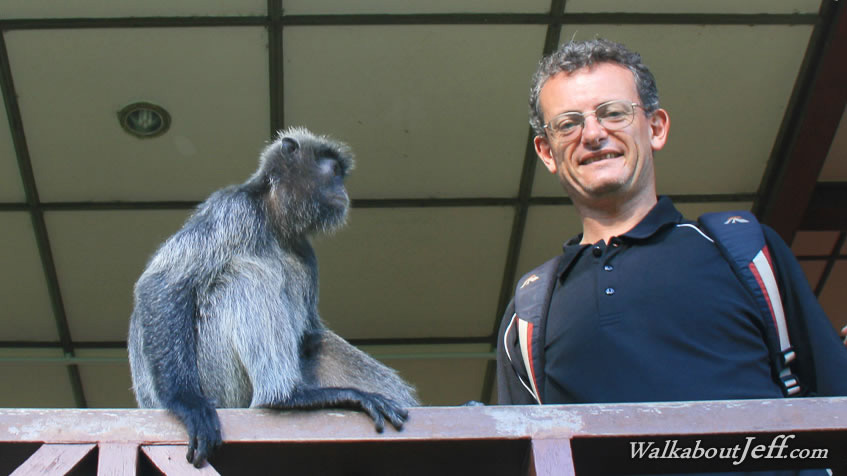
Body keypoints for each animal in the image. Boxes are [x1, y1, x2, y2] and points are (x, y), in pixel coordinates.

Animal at [128, 127, 418, 468]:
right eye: (334, 172)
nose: (343, 190)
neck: (274, 222)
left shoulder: (306, 253)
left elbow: (309, 332)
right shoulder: (233, 208)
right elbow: (163, 282)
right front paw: (186, 402)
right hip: (216, 381)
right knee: (244, 275)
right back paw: (285, 397)